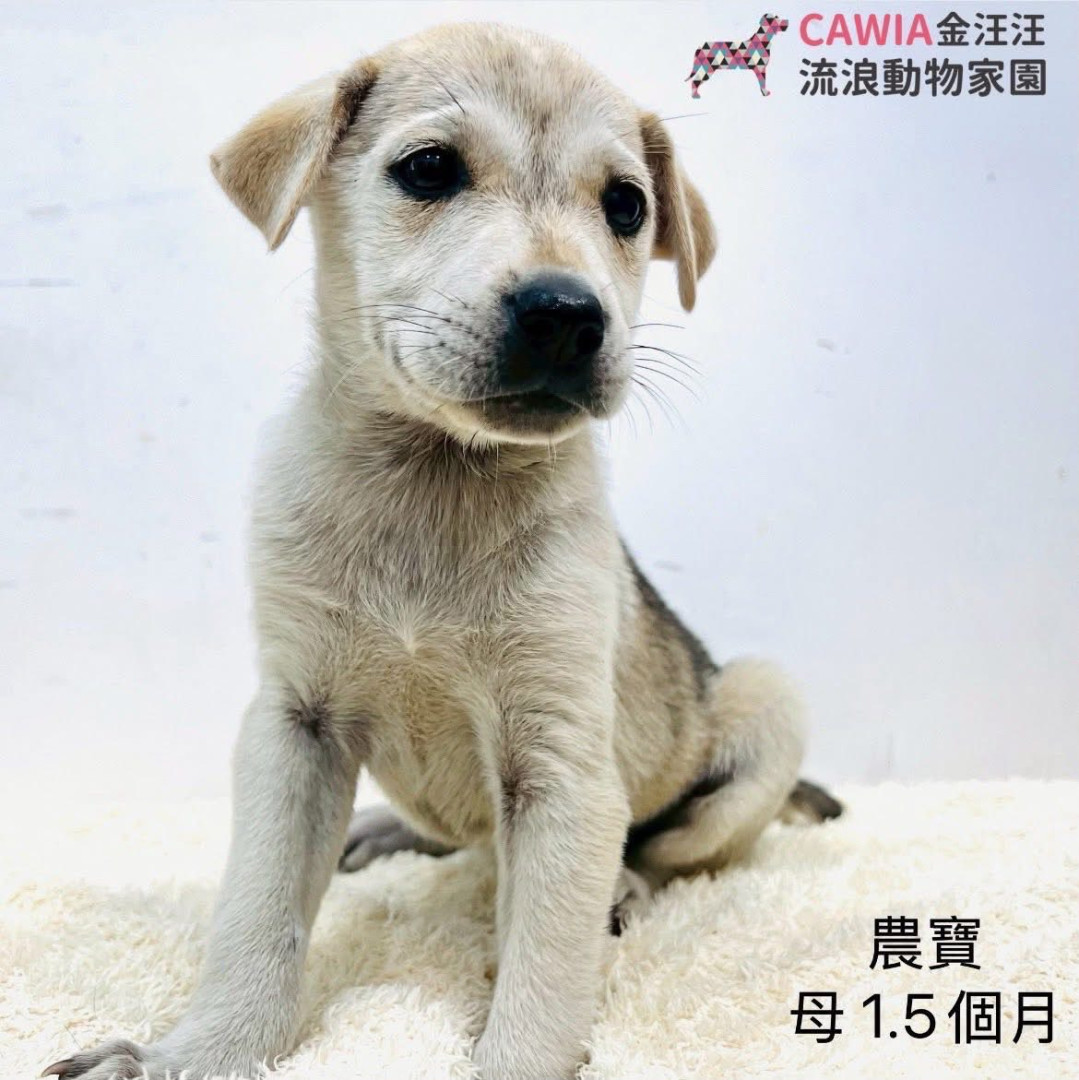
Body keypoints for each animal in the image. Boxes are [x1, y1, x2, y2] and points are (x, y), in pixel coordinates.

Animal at [43, 22, 840, 1080]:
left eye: (626, 205)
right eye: (428, 169)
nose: (567, 314)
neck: (437, 479)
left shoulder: (561, 764)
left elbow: (543, 965)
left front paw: (518, 1049)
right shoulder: (292, 726)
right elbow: (256, 912)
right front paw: (201, 1050)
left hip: (761, 704)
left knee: (646, 855)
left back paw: (620, 892)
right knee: (464, 842)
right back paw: (388, 828)